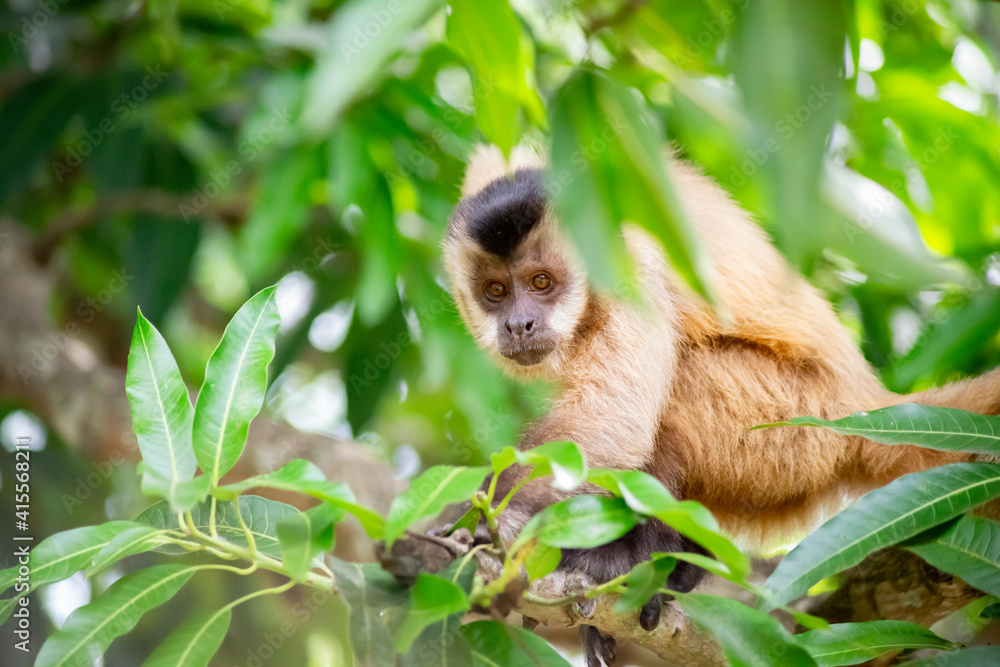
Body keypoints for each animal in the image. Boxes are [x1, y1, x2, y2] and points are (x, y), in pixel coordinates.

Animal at [442, 144, 1000, 666]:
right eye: (495, 291)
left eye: (541, 283)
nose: (519, 324)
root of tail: (864, 404)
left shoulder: (627, 261)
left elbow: (612, 422)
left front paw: (489, 529)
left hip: (798, 424)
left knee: (681, 386)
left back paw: (635, 557)